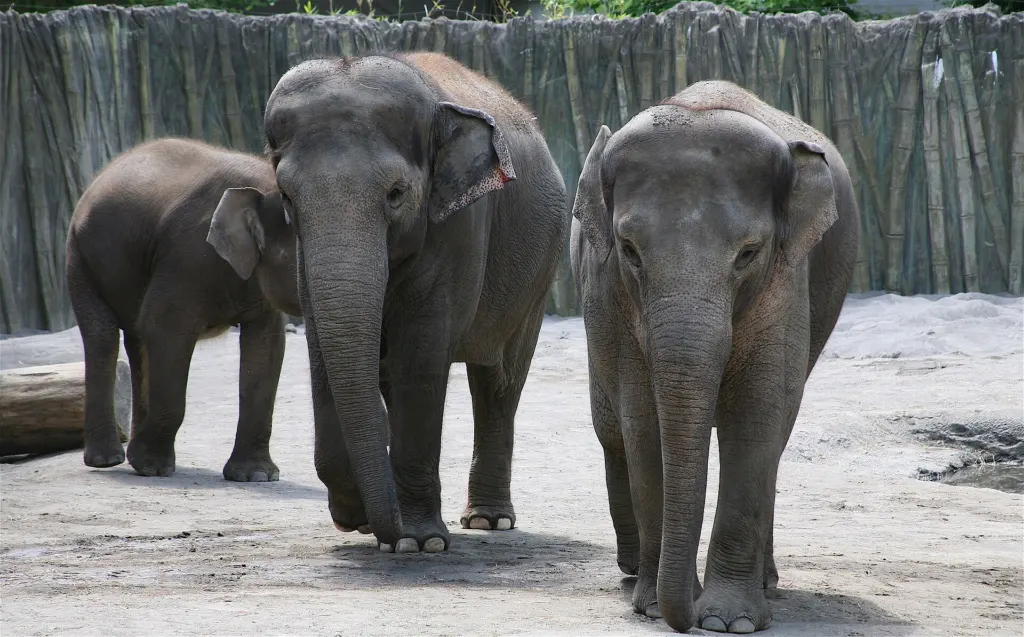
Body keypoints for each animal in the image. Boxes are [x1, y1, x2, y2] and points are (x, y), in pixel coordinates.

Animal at [66, 137, 300, 481]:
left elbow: (266, 345)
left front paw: (256, 476)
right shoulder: (187, 256)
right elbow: (166, 329)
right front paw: (149, 466)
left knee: (137, 339)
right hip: (79, 258)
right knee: (103, 336)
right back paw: (109, 461)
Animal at [214, 52, 568, 553]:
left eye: (397, 194)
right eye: (286, 197)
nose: (382, 527)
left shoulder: (459, 227)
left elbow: (421, 356)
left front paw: (419, 542)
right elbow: (325, 349)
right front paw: (362, 520)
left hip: (541, 271)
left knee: (499, 382)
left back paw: (487, 520)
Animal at [570, 80, 859, 633]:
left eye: (748, 253)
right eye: (628, 249)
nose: (684, 613)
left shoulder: (786, 282)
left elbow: (758, 415)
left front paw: (730, 620)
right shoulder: (609, 290)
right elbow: (643, 422)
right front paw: (654, 606)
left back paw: (766, 581)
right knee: (610, 428)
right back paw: (633, 569)